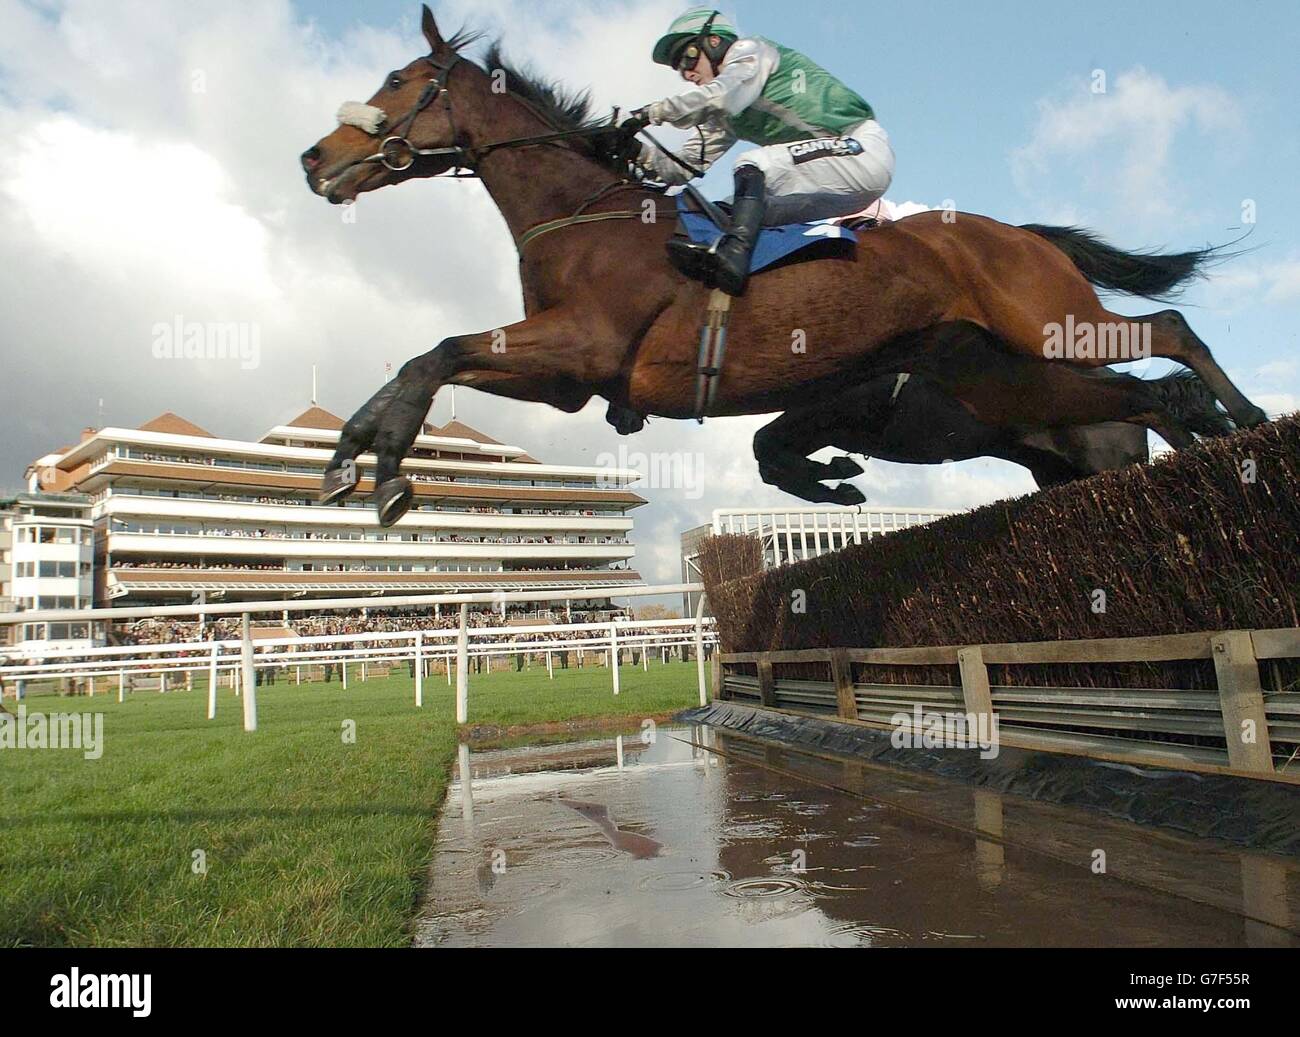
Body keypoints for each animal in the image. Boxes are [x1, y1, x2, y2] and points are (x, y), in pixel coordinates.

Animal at [299, 6, 1263, 527]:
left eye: (398, 82)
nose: (315, 157)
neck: (589, 218)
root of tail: (1024, 235)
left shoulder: (584, 347)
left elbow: (439, 352)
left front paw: (389, 471)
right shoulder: (567, 378)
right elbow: (426, 357)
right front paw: (348, 455)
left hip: (1050, 326)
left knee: (1168, 333)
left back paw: (1245, 421)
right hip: (1000, 375)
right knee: (1141, 389)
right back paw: (1213, 435)